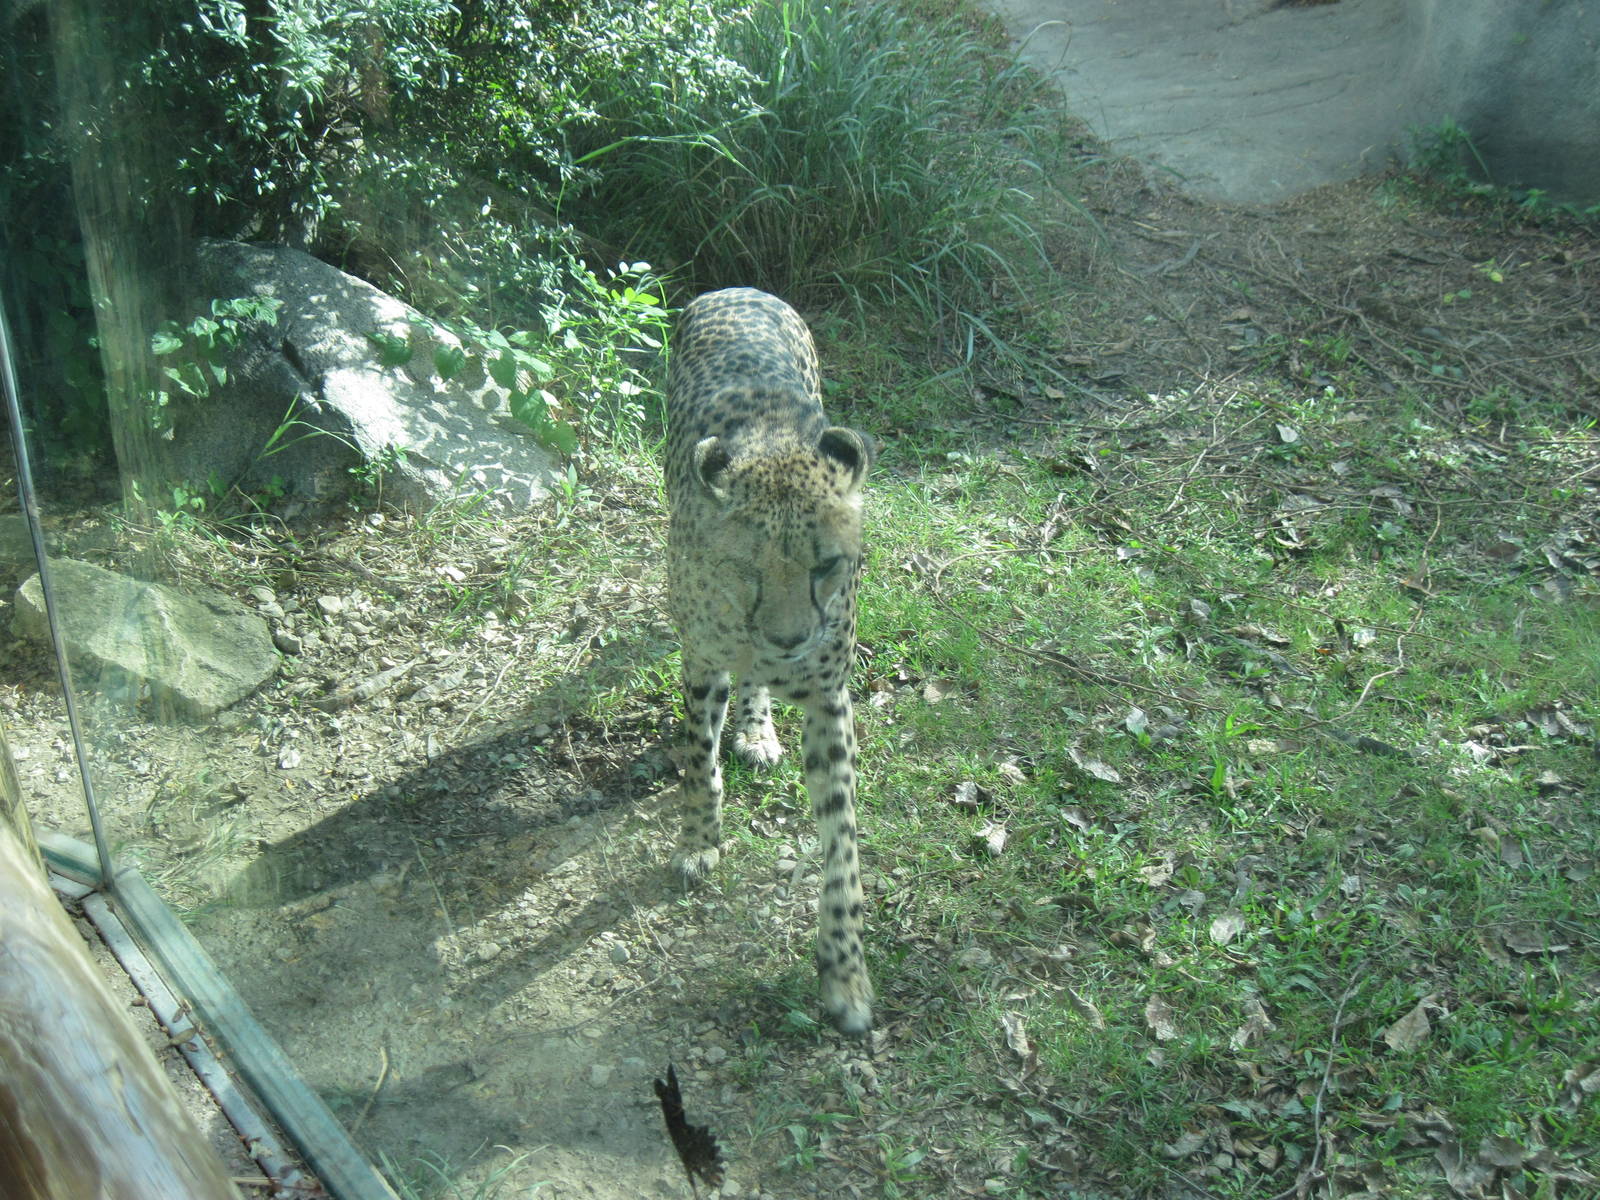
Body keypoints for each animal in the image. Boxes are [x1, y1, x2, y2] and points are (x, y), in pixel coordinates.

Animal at [664, 287, 875, 1034]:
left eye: (826, 565)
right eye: (748, 568)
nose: (789, 640)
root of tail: (740, 289)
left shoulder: (829, 699)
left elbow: (842, 843)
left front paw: (844, 968)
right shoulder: (701, 664)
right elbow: (698, 764)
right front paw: (700, 840)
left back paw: (757, 725)